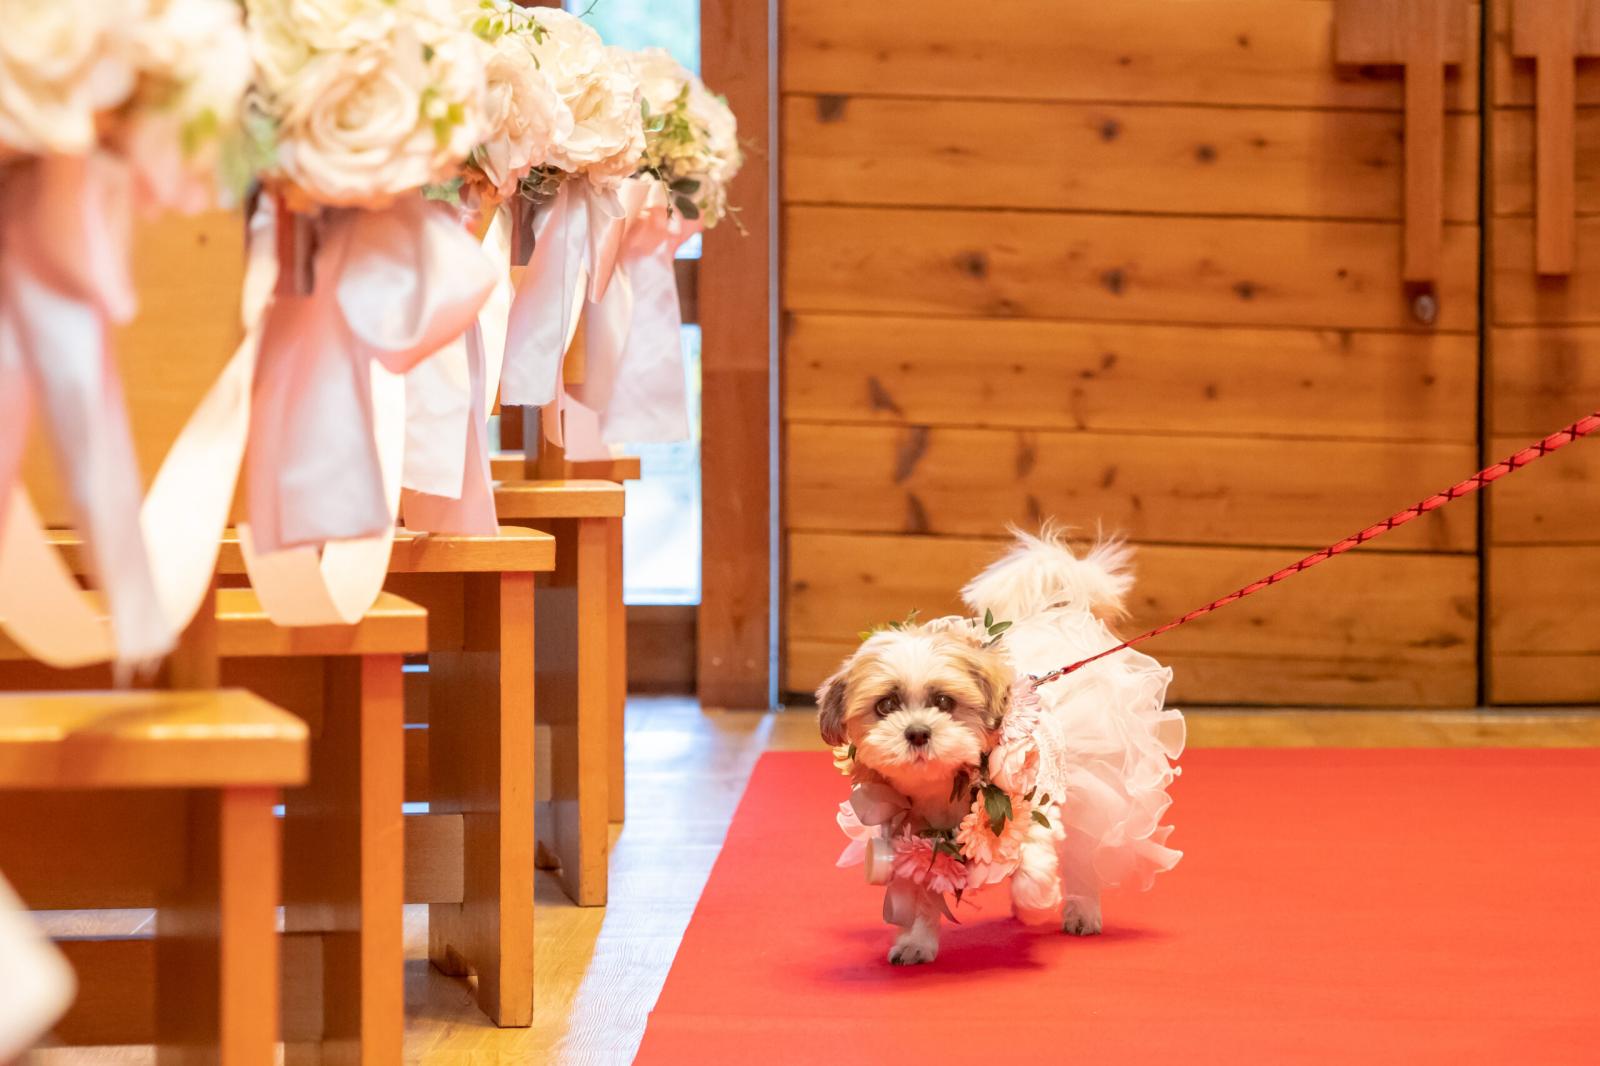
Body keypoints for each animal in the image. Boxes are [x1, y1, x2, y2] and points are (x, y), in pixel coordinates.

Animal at [819, 528, 1184, 966]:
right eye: (886, 705)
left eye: (944, 702)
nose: (918, 732)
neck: (941, 790)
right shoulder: (913, 835)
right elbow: (921, 890)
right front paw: (916, 941)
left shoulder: (1028, 798)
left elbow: (1034, 853)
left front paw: (1034, 900)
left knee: (1084, 854)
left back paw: (1081, 909)